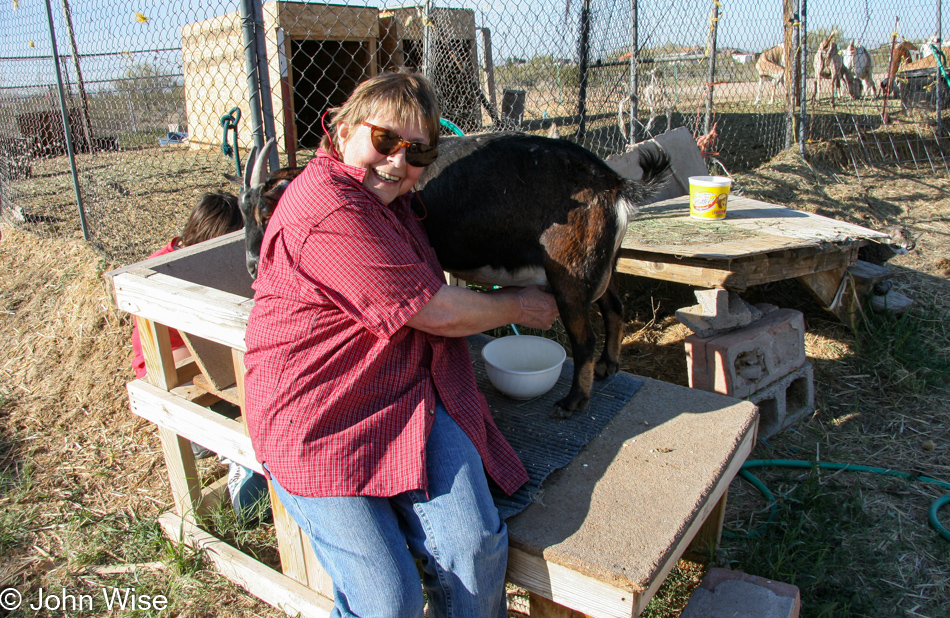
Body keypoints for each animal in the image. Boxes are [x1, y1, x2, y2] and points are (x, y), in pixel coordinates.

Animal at [237, 134, 668, 414]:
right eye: (241, 212)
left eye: (267, 210)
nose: (252, 266)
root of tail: (614, 183)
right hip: (600, 264)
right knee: (614, 307)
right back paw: (610, 365)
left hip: (572, 275)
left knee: (585, 339)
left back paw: (574, 402)